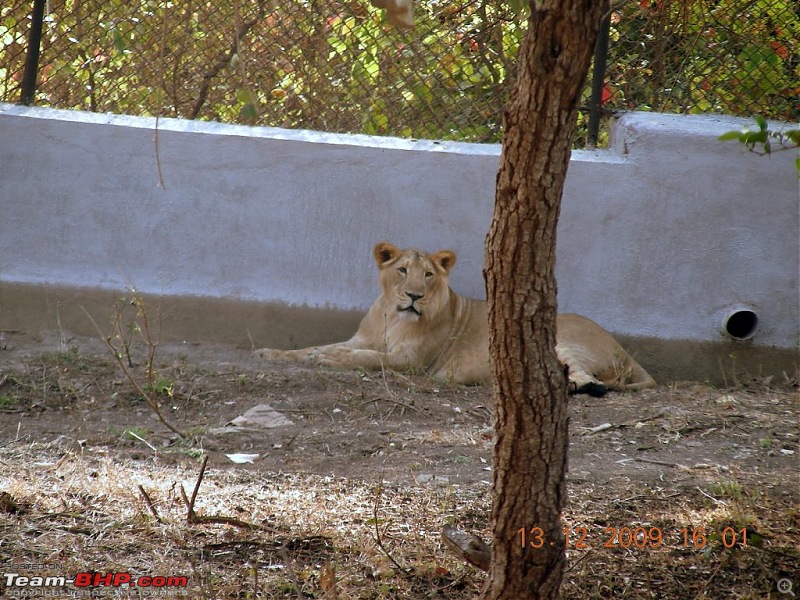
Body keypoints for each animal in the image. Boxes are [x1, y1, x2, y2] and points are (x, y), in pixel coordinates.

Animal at [256, 241, 656, 396]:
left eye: (428, 275)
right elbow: (319, 347)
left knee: (591, 382)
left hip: (561, 340)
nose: (414, 295)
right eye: (402, 270)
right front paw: (272, 353)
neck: (391, 316)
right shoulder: (363, 338)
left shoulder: (411, 360)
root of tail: (624, 350)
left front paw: (327, 358)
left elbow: (366, 358)